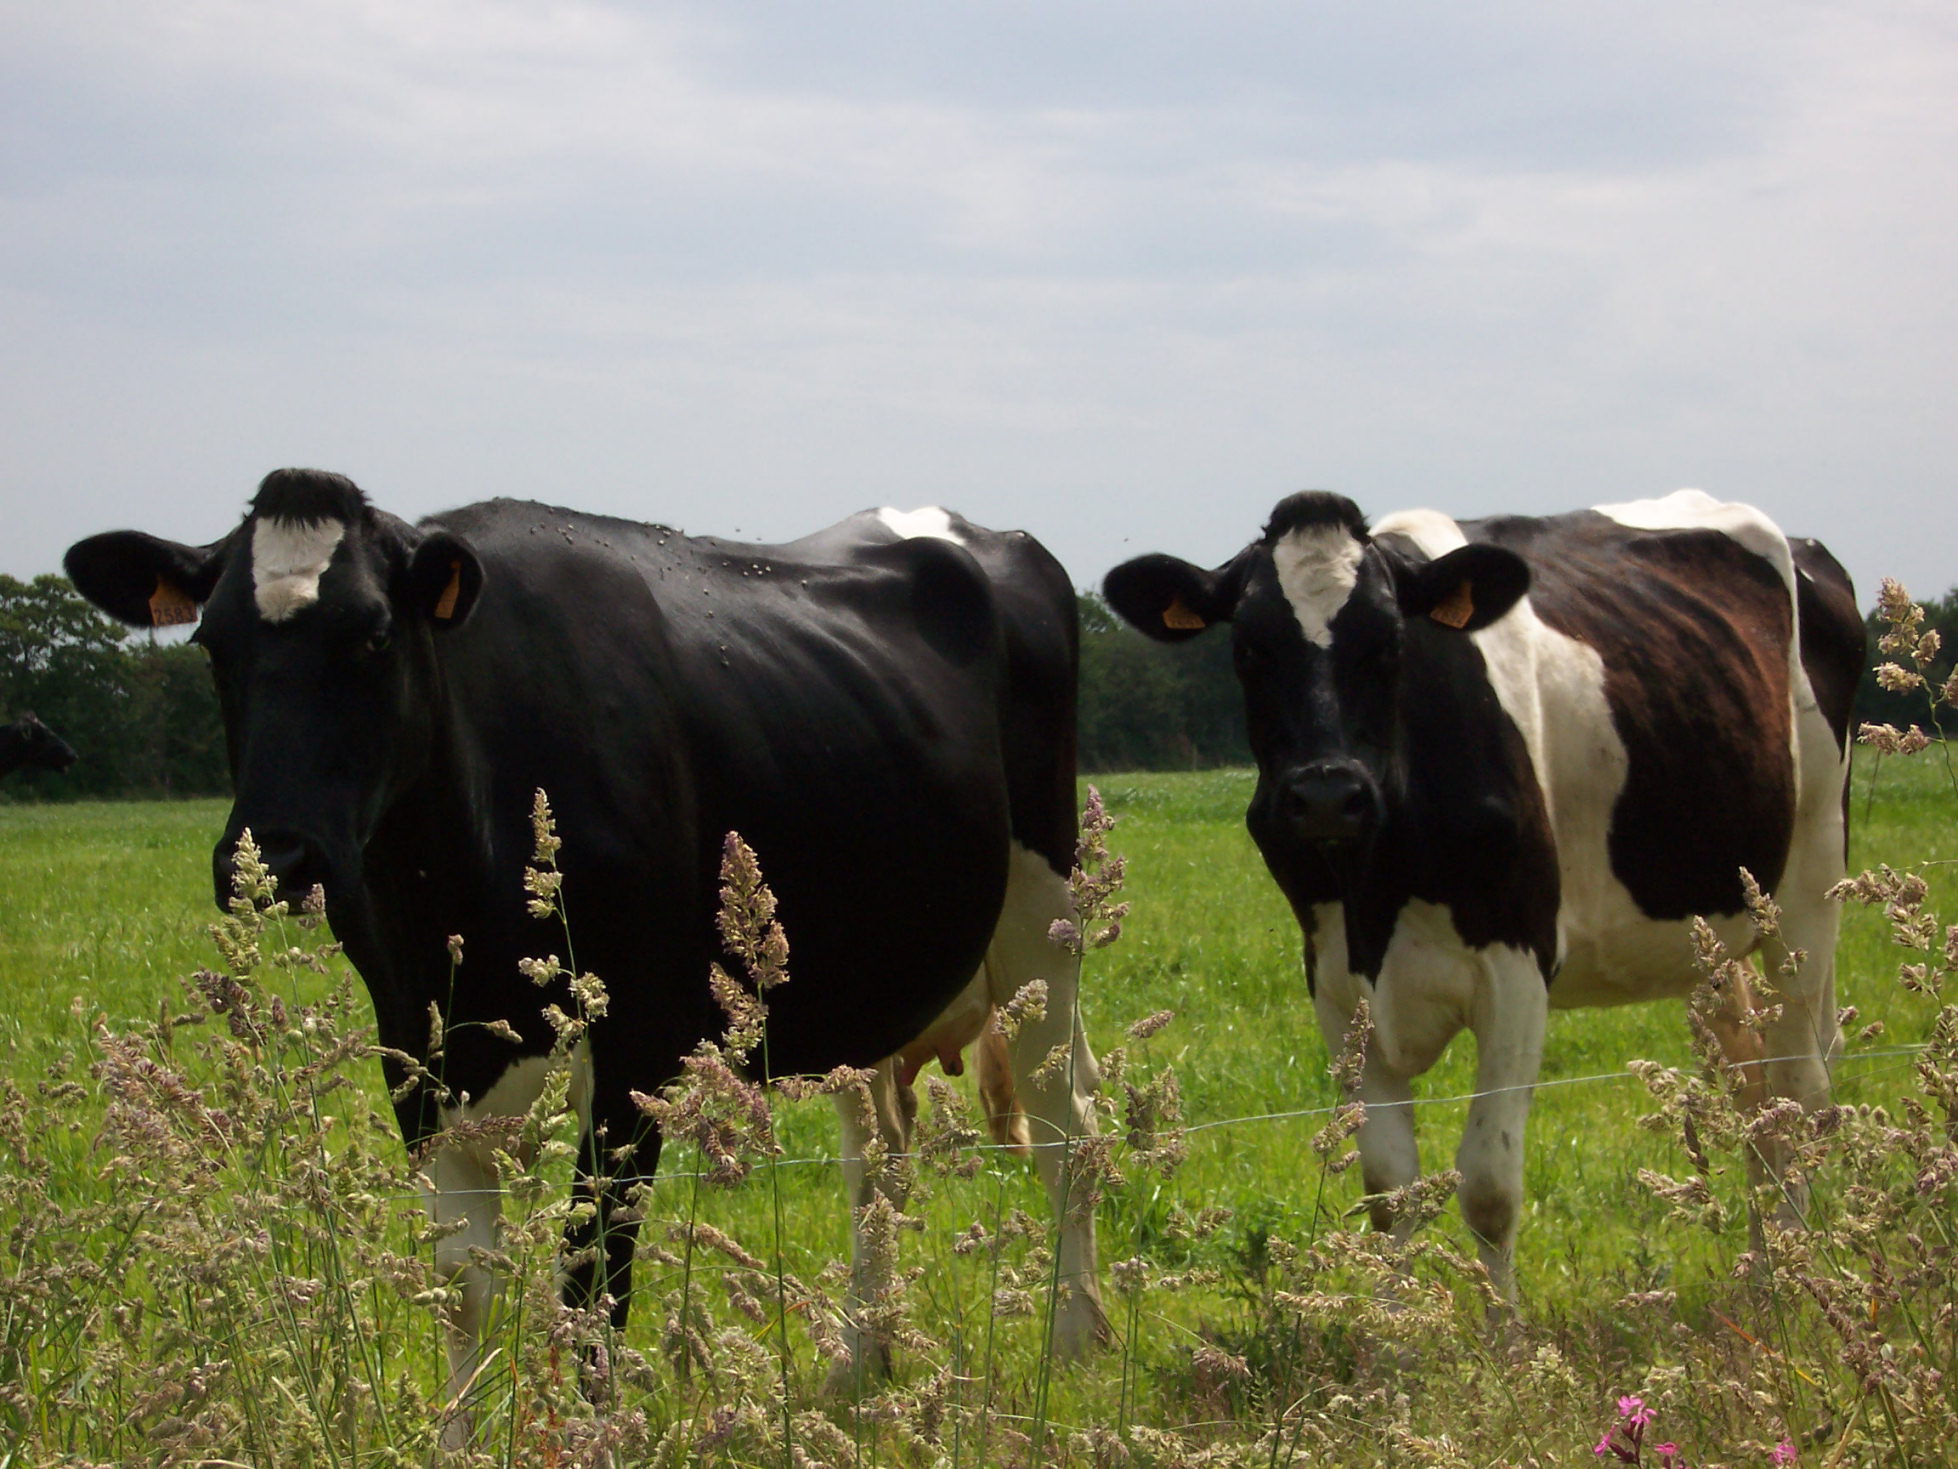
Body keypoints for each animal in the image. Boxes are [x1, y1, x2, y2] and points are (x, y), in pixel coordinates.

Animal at [65, 466, 1104, 1418]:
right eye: (212, 646)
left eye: (373, 635)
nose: (276, 855)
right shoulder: (418, 1060)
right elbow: (463, 1288)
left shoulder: (635, 1051)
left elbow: (591, 1277)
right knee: (878, 1163)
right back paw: (862, 1361)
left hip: (1044, 924)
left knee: (1066, 1132)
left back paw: (1075, 1347)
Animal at [1104, 491, 1864, 1300]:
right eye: (1249, 648)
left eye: (1390, 643)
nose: (1327, 796)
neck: (1379, 887)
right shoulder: (1336, 981)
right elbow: (1388, 1190)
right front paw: (1395, 1326)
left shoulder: (1517, 966)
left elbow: (1489, 1187)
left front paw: (1504, 1331)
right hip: (1717, 927)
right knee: (1756, 1093)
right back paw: (1761, 1275)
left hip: (1809, 883)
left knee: (1802, 1086)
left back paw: (1791, 1273)